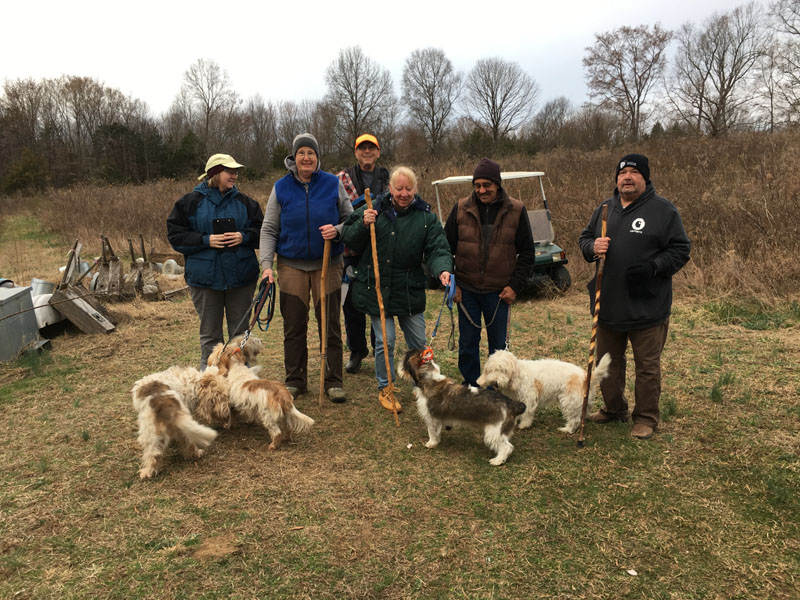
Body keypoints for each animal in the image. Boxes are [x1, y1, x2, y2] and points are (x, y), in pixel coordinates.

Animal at [397, 349, 526, 466]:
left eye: (405, 358)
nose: (398, 367)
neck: (431, 379)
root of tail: (511, 403)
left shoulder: (432, 418)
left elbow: (432, 432)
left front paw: (431, 443)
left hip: (494, 432)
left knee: (507, 447)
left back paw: (498, 460)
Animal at [476, 351, 612, 434]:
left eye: (503, 370)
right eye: (491, 370)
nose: (496, 382)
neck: (518, 375)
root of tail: (585, 376)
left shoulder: (529, 399)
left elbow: (527, 413)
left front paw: (524, 425)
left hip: (569, 402)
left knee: (574, 419)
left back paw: (567, 429)